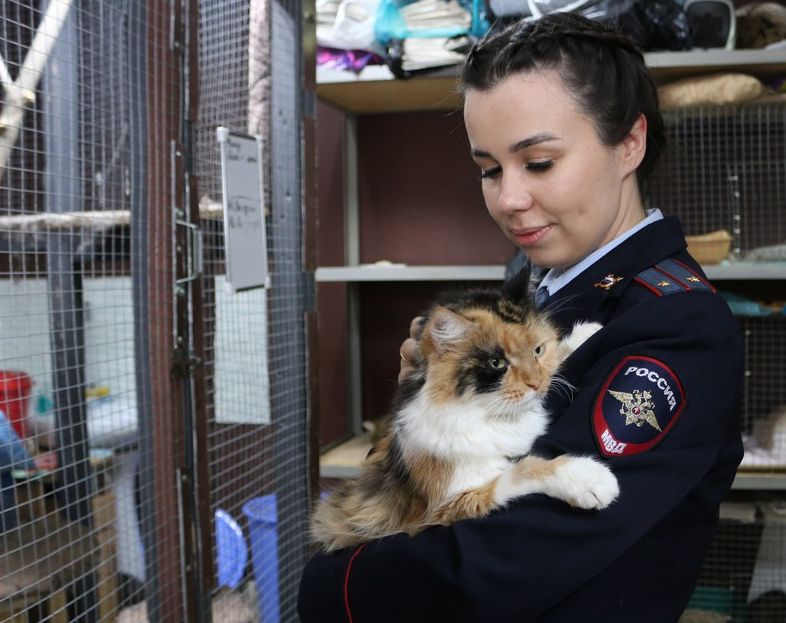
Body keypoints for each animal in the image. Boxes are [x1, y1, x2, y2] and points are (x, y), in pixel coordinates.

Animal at [310, 286, 616, 552]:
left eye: (538, 350)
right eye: (496, 363)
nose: (535, 384)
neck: (489, 413)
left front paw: (584, 333)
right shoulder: (451, 504)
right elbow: (523, 469)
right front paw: (590, 479)